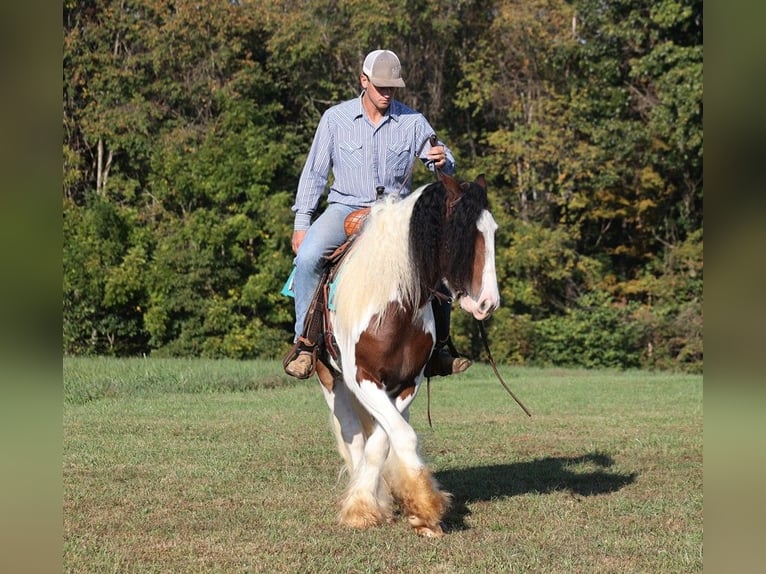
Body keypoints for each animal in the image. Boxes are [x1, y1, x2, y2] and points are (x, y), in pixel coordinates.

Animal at [314, 172, 500, 540]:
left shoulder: (407, 383)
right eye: (460, 234)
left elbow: (387, 440)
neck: (394, 306)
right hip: (330, 379)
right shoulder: (362, 379)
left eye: (493, 230)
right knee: (352, 435)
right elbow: (391, 438)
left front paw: (416, 509)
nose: (488, 302)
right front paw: (365, 508)